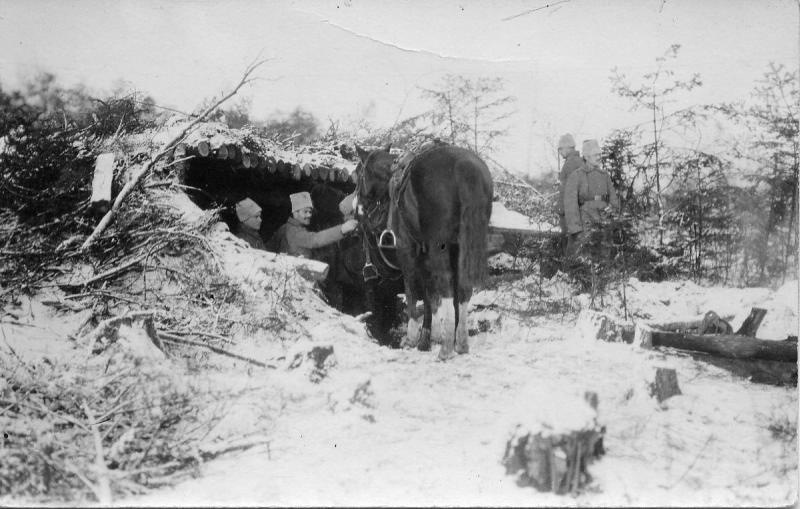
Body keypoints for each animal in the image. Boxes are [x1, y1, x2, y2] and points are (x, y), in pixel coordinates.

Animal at [356, 141, 494, 360]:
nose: (359, 207)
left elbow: (413, 292)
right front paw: (428, 337)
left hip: (439, 249)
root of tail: (464, 166)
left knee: (446, 288)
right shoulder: (425, 257)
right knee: (463, 289)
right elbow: (430, 297)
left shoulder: (408, 252)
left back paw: (446, 349)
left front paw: (414, 338)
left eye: (359, 173)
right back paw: (460, 343)